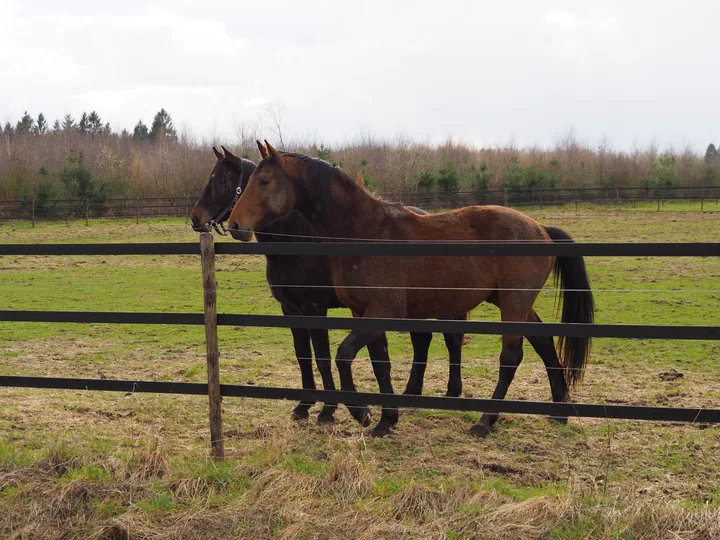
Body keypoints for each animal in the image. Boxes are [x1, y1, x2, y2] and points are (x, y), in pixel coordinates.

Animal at [188, 146, 464, 424]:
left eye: (223, 182)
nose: (196, 219)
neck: (296, 243)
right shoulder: (291, 310)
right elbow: (303, 355)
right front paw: (304, 405)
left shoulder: (315, 309)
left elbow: (322, 356)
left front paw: (328, 409)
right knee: (423, 339)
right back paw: (410, 393)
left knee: (452, 340)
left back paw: (451, 392)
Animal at [228, 141, 592, 436]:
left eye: (264, 181)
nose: (234, 224)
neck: (363, 231)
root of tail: (540, 227)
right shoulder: (363, 311)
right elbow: (380, 364)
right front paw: (386, 420)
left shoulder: (382, 310)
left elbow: (344, 355)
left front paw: (361, 412)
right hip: (512, 302)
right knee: (544, 342)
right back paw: (560, 411)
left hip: (513, 304)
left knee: (511, 358)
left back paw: (485, 421)